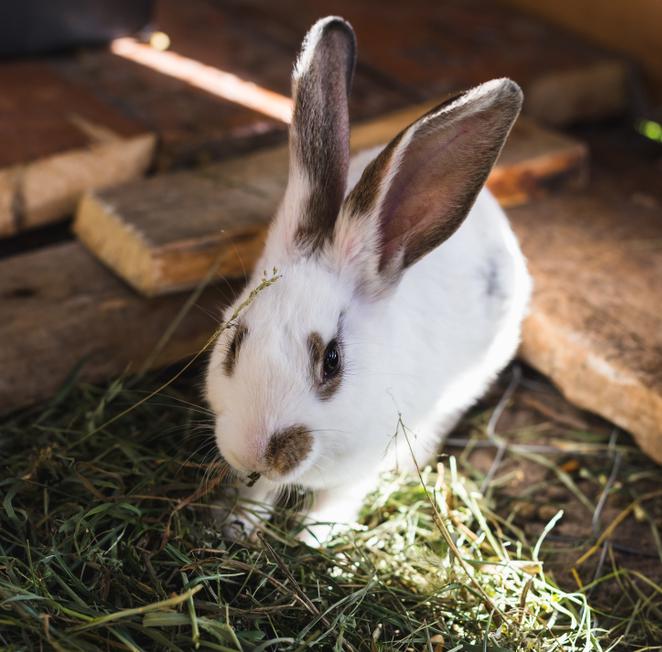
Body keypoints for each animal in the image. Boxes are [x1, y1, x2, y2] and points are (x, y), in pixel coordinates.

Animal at [206, 16, 536, 544]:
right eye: (235, 341)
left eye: (332, 361)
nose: (260, 451)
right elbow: (258, 493)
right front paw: (237, 525)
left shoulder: (363, 465)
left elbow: (336, 501)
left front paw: (314, 541)